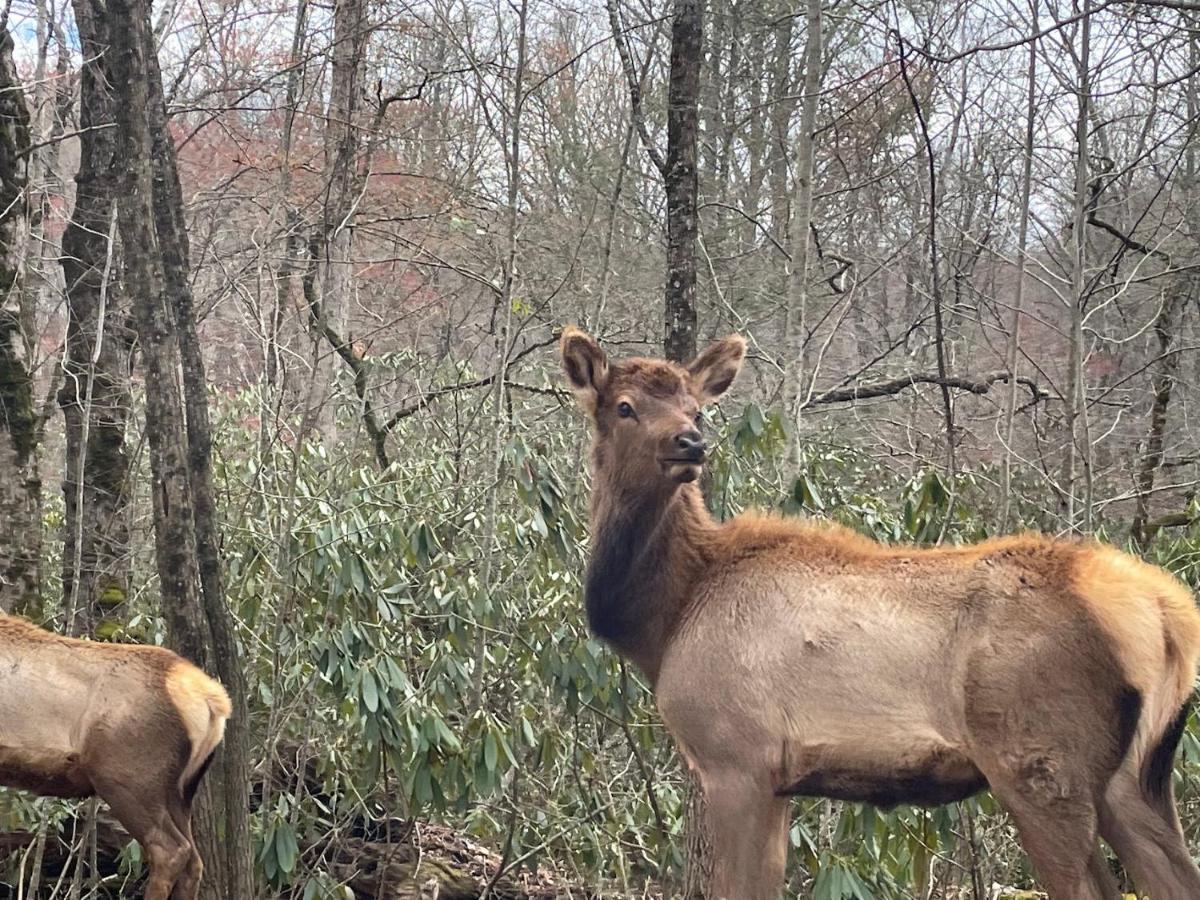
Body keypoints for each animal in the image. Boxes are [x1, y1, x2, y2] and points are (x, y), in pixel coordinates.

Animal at [556, 328, 1200, 900]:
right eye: (625, 406)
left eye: (696, 408)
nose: (690, 441)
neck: (668, 617)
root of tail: (1168, 613)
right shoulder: (775, 776)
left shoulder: (737, 756)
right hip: (1136, 775)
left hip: (1039, 761)